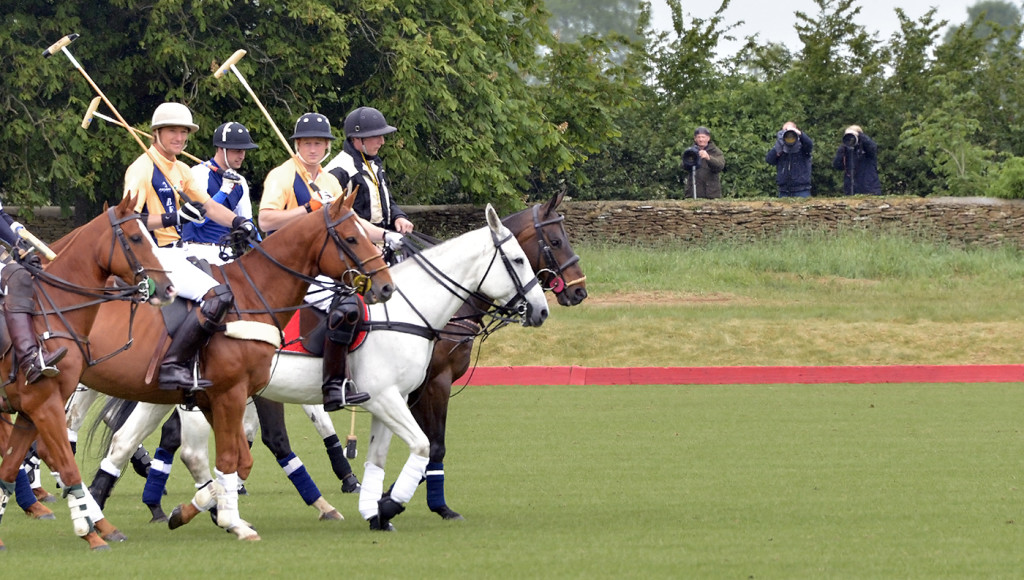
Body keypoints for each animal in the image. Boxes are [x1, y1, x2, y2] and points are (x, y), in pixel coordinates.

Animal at [0, 195, 176, 549]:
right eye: (135, 238)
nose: (168, 288)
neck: (54, 309)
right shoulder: (44, 406)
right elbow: (68, 467)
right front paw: (91, 533)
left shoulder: (28, 414)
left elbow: (9, 471)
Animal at [56, 195, 393, 545]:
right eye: (351, 238)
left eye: (366, 232)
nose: (385, 287)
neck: (254, 295)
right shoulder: (234, 393)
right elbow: (244, 452)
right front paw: (232, 519)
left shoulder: (220, 396)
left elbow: (241, 457)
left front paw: (204, 511)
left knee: (115, 437)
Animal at [405, 190, 589, 522]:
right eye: (556, 241)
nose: (580, 290)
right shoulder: (436, 381)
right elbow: (434, 445)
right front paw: (437, 506)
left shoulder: (417, 388)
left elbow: (420, 443)